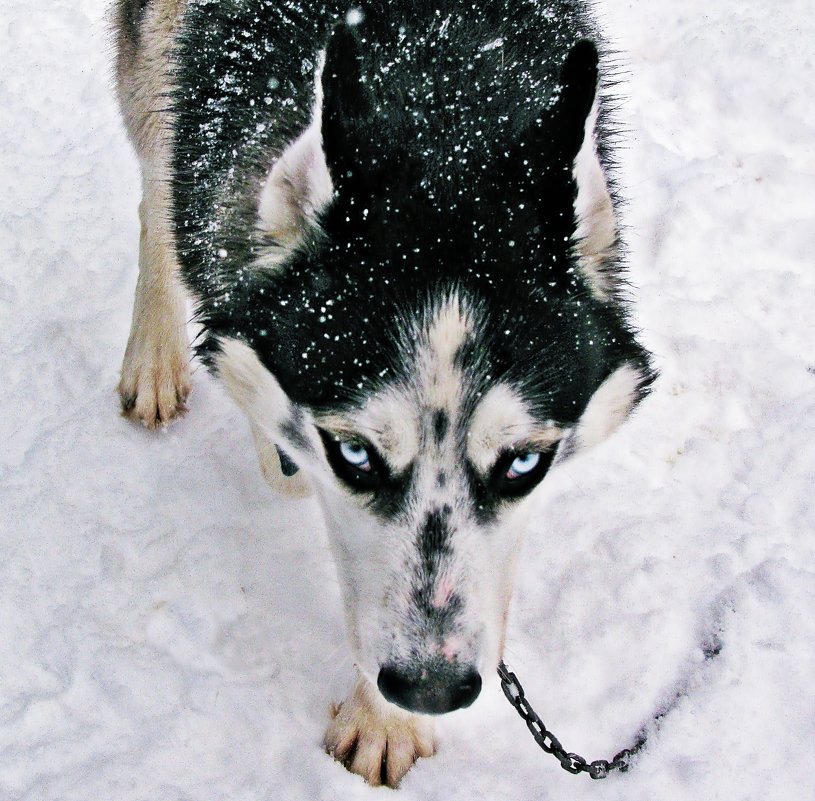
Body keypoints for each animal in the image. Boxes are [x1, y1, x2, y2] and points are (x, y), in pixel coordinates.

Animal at [111, 0, 656, 788]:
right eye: (355, 454)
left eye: (524, 463)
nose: (431, 689)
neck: (437, 86)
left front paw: (387, 718)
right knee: (155, 179)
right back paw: (154, 354)